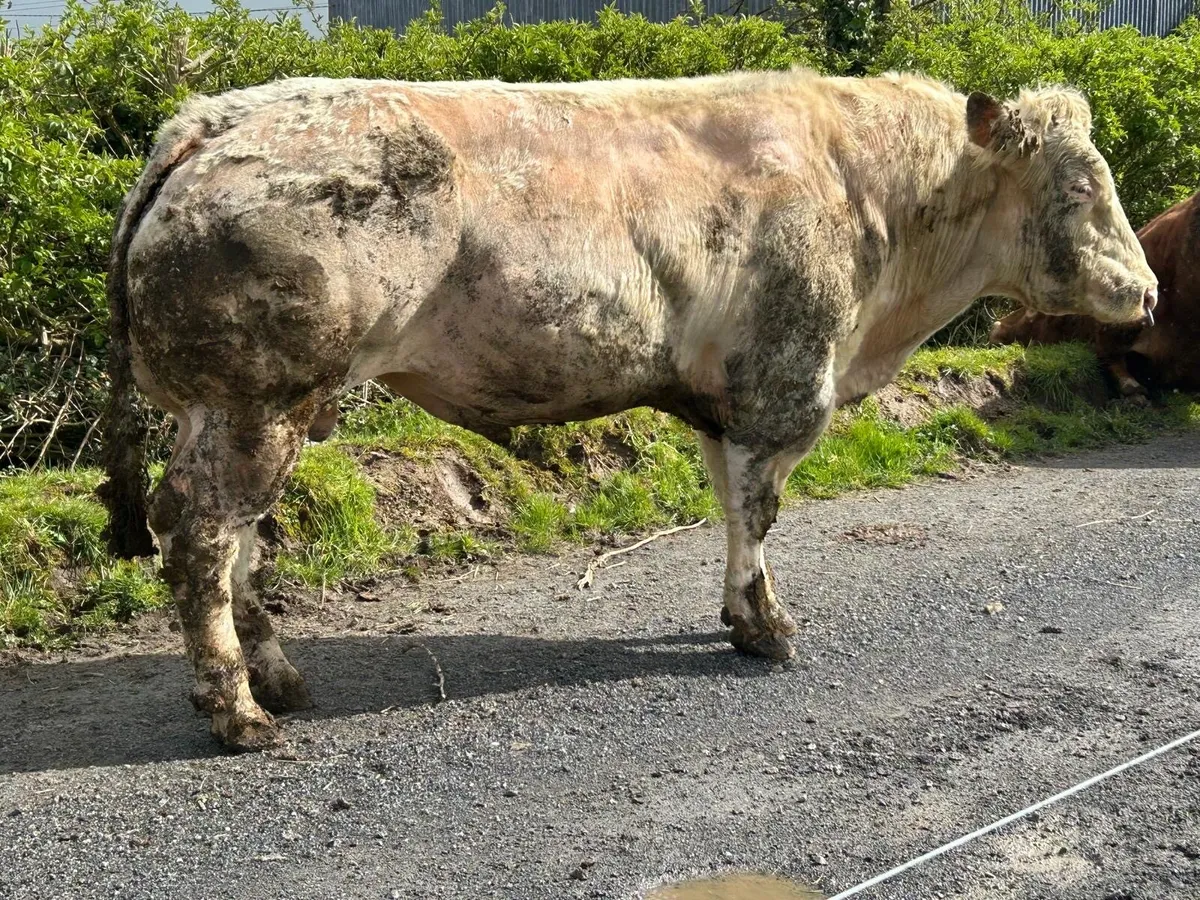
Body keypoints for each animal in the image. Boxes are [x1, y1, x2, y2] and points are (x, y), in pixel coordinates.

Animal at [97, 70, 1157, 751]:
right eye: (1081, 182)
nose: (1148, 291)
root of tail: (213, 119)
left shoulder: (722, 398)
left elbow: (730, 507)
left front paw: (738, 611)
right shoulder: (784, 383)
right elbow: (760, 511)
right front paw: (765, 628)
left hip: (238, 408)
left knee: (239, 540)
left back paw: (279, 679)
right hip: (254, 398)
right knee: (201, 534)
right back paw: (238, 711)